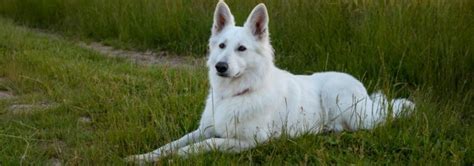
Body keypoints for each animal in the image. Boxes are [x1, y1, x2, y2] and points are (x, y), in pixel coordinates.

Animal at [127, 1, 414, 162]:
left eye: (241, 49)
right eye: (222, 46)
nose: (221, 67)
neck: (238, 94)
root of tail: (362, 89)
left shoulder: (247, 142)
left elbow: (200, 146)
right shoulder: (206, 128)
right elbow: (173, 143)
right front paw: (143, 157)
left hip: (345, 105)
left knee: (383, 117)